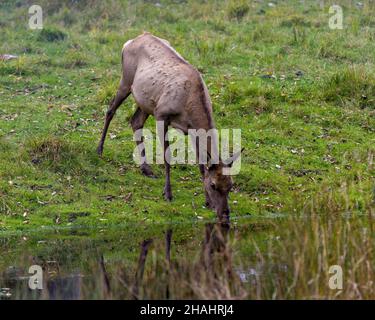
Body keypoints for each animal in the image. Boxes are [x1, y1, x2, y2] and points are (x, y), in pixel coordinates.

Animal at [98, 32, 242, 222]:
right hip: (126, 80)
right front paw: (168, 193)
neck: (190, 104)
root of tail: (129, 42)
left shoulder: (192, 130)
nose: (225, 213)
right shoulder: (162, 114)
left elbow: (201, 164)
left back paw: (146, 169)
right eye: (213, 185)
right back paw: (99, 149)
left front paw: (207, 202)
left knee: (135, 121)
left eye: (231, 185)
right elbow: (167, 157)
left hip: (146, 102)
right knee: (110, 109)